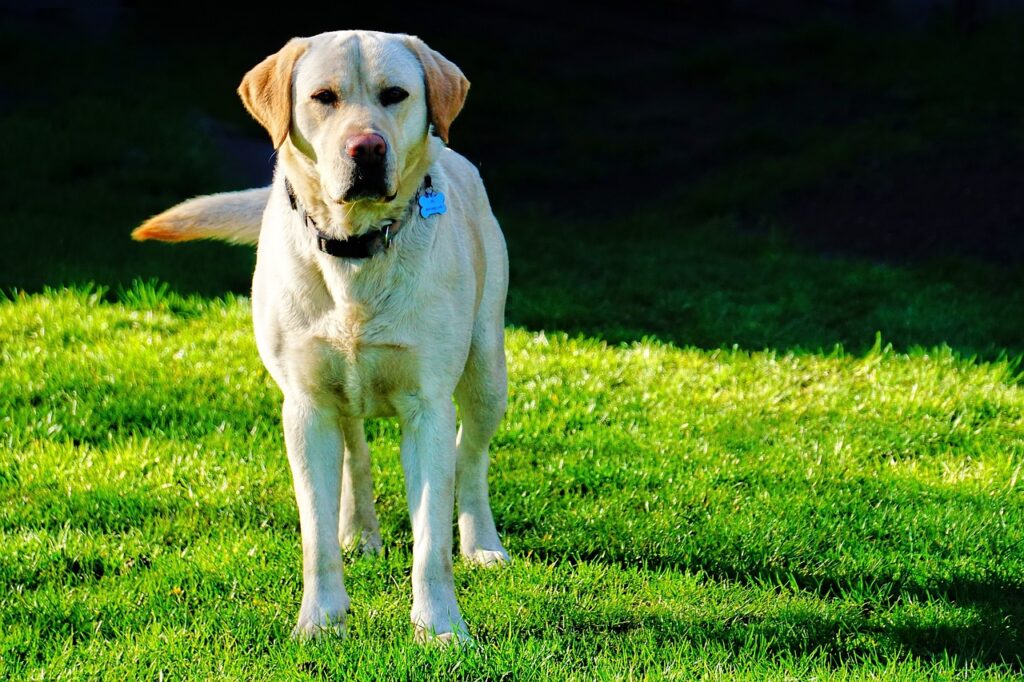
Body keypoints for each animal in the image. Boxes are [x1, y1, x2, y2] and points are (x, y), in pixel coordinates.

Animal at [130, 29, 509, 638]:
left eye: (395, 94)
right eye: (323, 97)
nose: (367, 149)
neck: (354, 250)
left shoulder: (427, 406)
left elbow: (430, 541)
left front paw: (441, 629)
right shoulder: (305, 406)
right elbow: (315, 536)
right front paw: (322, 621)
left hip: (486, 368)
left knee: (470, 456)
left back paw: (482, 544)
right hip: (338, 392)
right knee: (355, 450)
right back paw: (358, 531)